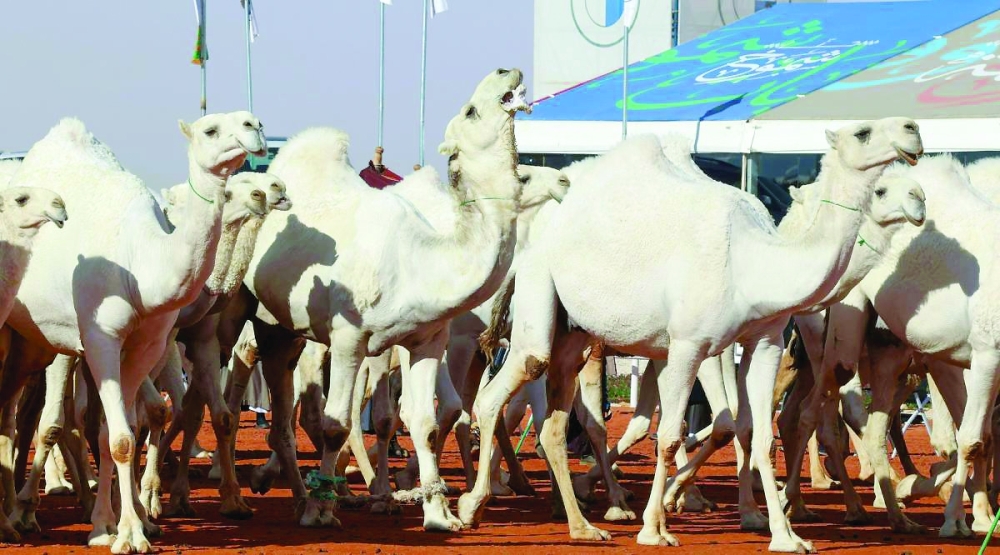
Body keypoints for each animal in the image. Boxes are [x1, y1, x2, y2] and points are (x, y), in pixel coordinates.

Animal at [1, 112, 264, 553]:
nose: (254, 126)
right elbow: (117, 436)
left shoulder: (147, 344)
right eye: (210, 129)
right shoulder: (100, 338)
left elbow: (116, 432)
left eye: (251, 122)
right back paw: (20, 514)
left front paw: (115, 526)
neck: (142, 264)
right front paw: (130, 533)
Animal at [223, 68, 531, 531]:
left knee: (282, 406)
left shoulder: (428, 340)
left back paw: (292, 492)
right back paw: (269, 497)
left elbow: (425, 422)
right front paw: (324, 510)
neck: (420, 262)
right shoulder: (348, 338)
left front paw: (439, 513)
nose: (505, 70)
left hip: (284, 330)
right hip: (250, 312)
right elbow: (336, 424)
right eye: (470, 111)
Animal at [462, 118, 923, 551]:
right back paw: (475, 504)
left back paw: (582, 525)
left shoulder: (765, 341)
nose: (913, 129)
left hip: (575, 333)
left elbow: (757, 434)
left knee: (552, 423)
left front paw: (783, 534)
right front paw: (655, 528)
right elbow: (670, 436)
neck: (756, 262)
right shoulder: (688, 345)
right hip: (541, 289)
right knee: (509, 383)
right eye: (863, 132)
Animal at [780, 153, 1000, 539]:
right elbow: (970, 438)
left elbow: (981, 437)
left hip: (889, 352)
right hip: (835, 329)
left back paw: (896, 513)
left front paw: (976, 513)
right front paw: (956, 519)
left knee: (869, 421)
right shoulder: (984, 353)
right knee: (818, 410)